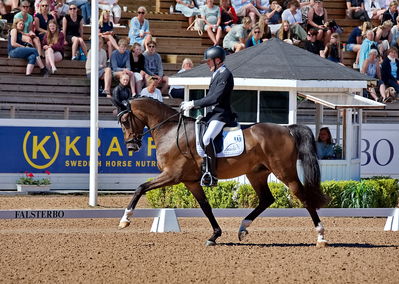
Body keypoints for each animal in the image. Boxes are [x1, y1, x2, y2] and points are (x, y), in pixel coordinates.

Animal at [117, 97, 330, 246]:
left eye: (126, 121)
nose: (131, 146)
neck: (170, 132)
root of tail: (288, 130)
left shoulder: (172, 175)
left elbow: (140, 187)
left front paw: (125, 219)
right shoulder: (190, 181)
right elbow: (205, 207)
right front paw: (214, 236)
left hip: (284, 172)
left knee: (303, 197)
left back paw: (321, 236)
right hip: (256, 174)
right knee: (266, 199)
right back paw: (242, 228)